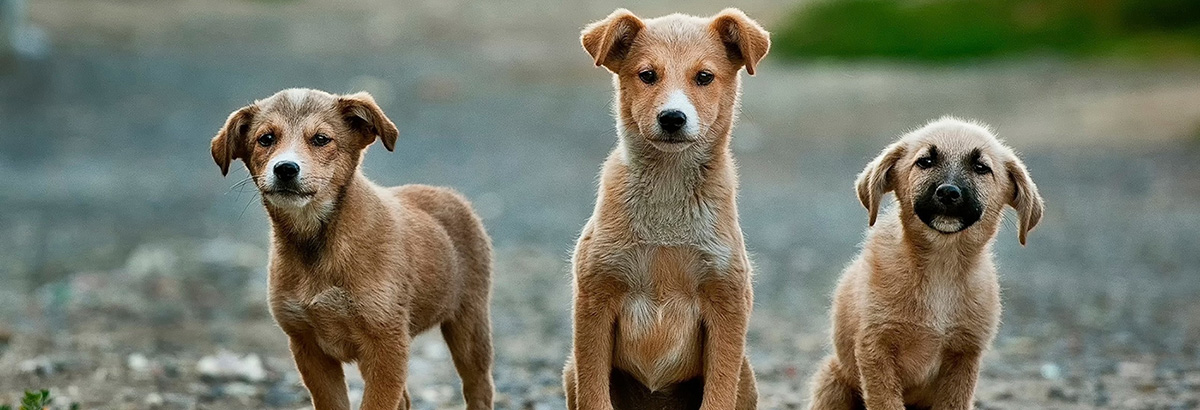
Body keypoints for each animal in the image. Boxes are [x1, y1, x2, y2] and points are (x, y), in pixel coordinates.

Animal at [213, 89, 494, 410]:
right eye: (266, 139)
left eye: (321, 139)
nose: (285, 168)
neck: (318, 243)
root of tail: (450, 194)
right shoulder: (307, 345)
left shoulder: (386, 342)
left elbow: (377, 404)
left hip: (470, 324)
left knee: (479, 388)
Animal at [561, 7, 768, 410]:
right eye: (647, 75)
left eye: (704, 77)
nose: (673, 117)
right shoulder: (595, 296)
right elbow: (594, 391)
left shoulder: (727, 299)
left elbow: (718, 392)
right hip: (569, 370)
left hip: (747, 376)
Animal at [806, 116, 1051, 407]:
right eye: (925, 161)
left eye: (981, 168)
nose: (948, 192)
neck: (941, 266)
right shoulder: (875, 347)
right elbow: (885, 403)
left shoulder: (965, 354)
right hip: (831, 380)